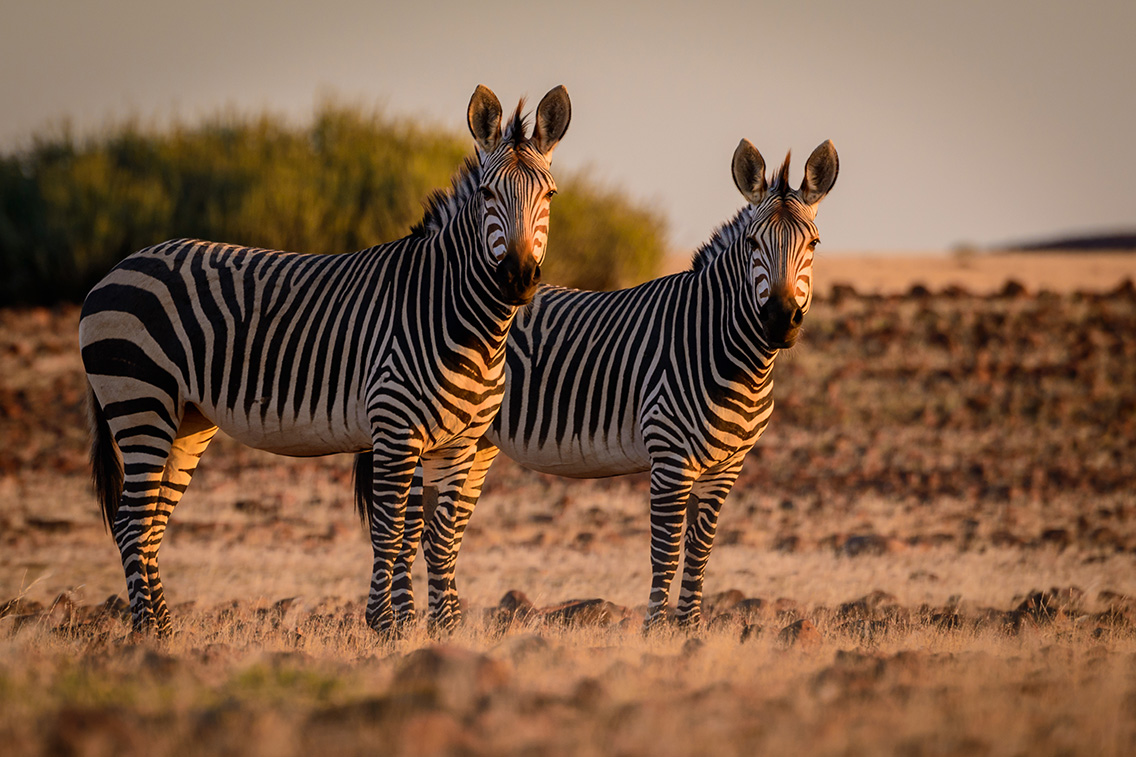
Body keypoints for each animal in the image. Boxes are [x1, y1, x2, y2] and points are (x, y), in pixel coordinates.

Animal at [80, 84, 572, 637]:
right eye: (488, 194)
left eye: (550, 196)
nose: (518, 278)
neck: (458, 316)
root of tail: (116, 268)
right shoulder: (396, 428)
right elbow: (392, 530)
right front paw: (387, 625)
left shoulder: (459, 442)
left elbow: (441, 537)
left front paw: (444, 628)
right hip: (140, 401)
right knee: (131, 521)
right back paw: (149, 630)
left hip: (187, 418)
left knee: (151, 522)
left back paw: (164, 627)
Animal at [377, 138, 838, 632]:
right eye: (753, 242)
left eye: (814, 243)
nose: (780, 320)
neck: (722, 347)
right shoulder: (671, 457)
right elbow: (666, 552)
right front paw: (657, 631)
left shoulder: (727, 466)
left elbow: (700, 553)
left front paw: (691, 629)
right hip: (424, 433)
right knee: (409, 529)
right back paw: (405, 623)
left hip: (474, 441)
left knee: (446, 532)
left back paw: (451, 623)